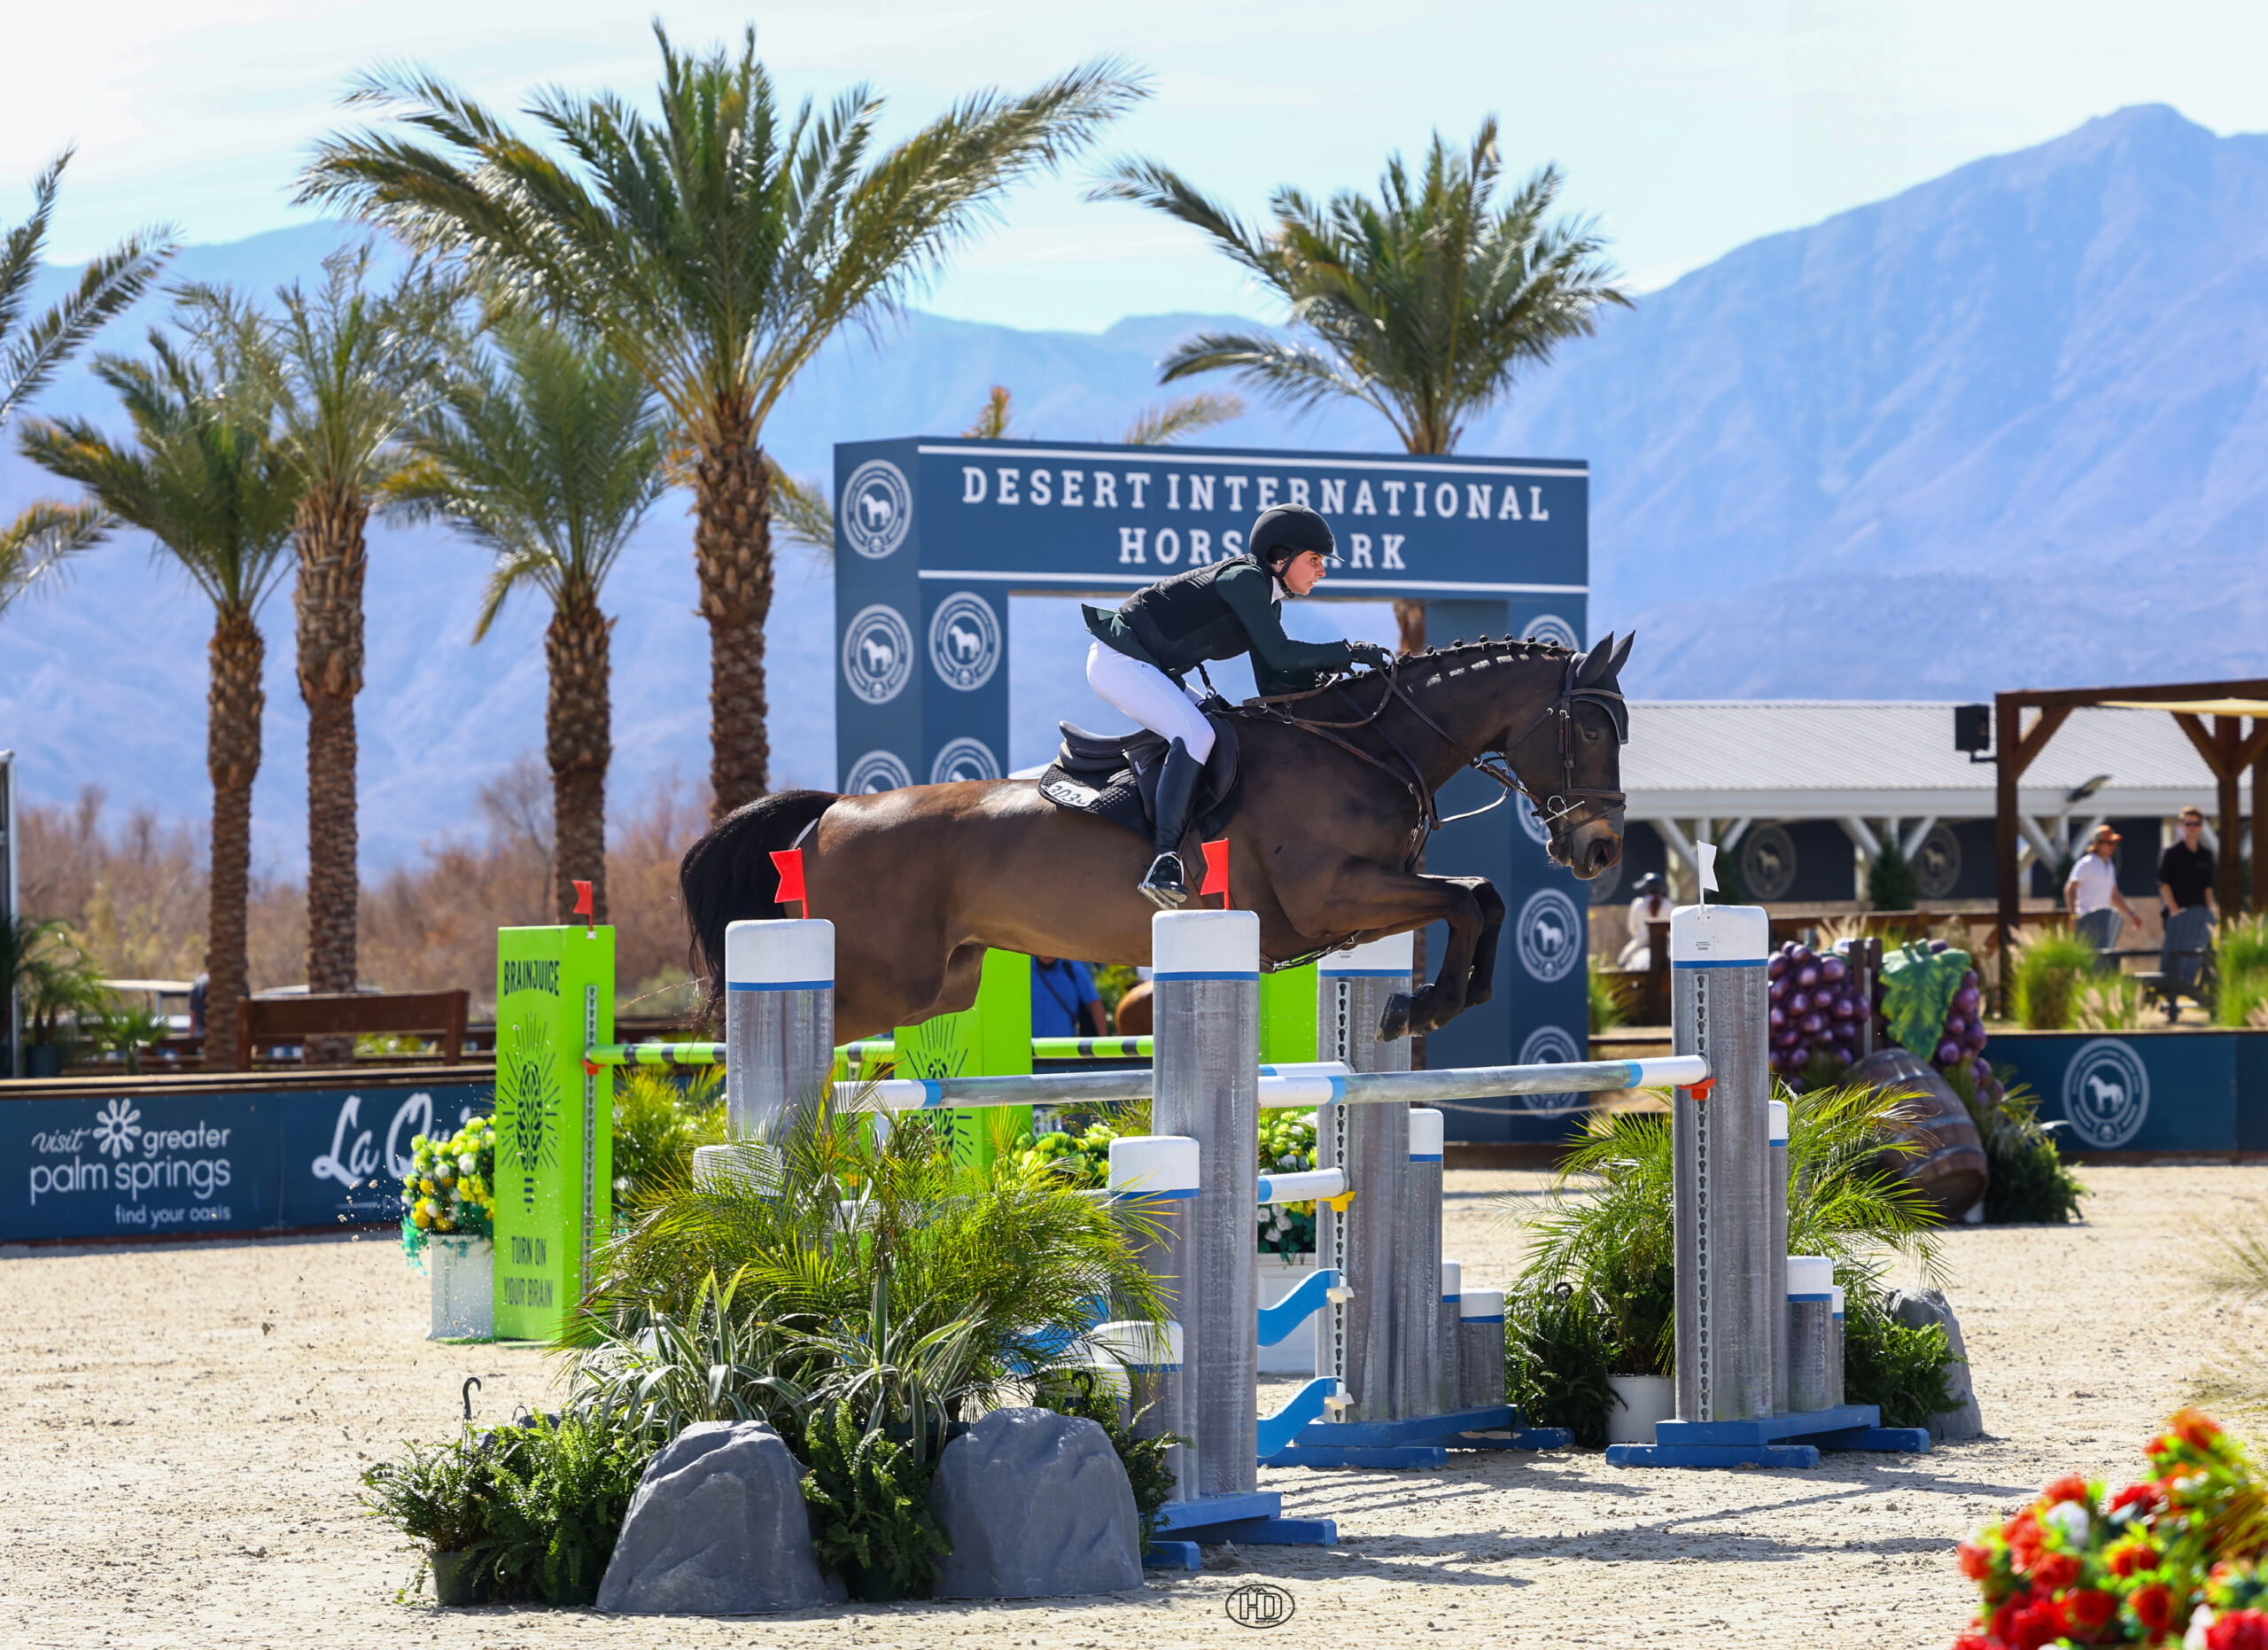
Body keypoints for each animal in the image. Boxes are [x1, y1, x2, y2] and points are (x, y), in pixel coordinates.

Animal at [682, 632, 1634, 1045]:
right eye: (1591, 729)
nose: (1599, 852)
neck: (1367, 744)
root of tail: (832, 812)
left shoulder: (1362, 904)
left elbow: (1480, 899)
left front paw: (1433, 1002)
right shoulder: (1330, 895)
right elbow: (1467, 899)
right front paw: (1424, 1006)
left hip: (941, 987)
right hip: (881, 987)